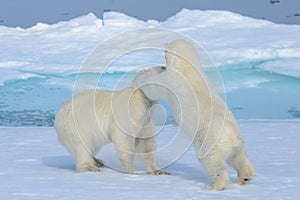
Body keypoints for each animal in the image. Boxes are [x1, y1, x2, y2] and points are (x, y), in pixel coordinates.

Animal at [136, 39, 255, 191]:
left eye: (165, 52)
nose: (163, 52)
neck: (189, 67)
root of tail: (231, 135)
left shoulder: (171, 79)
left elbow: (153, 86)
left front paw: (141, 77)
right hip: (237, 141)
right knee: (239, 156)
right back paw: (245, 177)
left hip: (209, 141)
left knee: (212, 162)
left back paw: (213, 185)